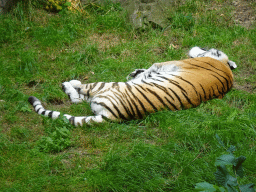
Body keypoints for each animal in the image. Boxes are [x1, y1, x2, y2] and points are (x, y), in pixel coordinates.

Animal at [27, 46, 236, 127]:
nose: (195, 47)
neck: (226, 68)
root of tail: (112, 116)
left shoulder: (172, 63)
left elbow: (153, 65)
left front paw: (138, 73)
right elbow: (146, 70)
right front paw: (136, 72)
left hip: (106, 86)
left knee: (78, 95)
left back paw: (69, 83)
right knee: (78, 98)